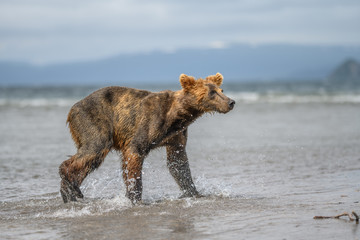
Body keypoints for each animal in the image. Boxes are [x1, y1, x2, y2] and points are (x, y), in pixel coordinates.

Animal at [59, 72, 235, 203]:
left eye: (222, 90)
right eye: (212, 93)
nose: (231, 102)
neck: (177, 116)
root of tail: (72, 109)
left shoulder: (176, 135)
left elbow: (178, 163)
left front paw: (195, 192)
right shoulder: (148, 124)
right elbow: (134, 156)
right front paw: (135, 197)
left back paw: (71, 192)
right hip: (94, 120)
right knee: (93, 150)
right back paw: (71, 186)